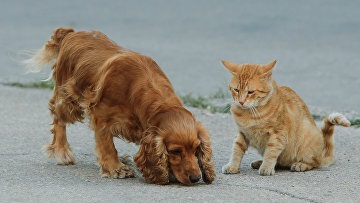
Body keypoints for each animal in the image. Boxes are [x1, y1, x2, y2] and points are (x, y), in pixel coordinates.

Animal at [26, 27, 217, 186]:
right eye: (175, 151)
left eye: (196, 148)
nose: (196, 178)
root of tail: (71, 33)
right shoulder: (100, 115)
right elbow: (107, 145)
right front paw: (116, 168)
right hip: (70, 100)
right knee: (57, 117)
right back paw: (62, 151)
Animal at [221, 59, 350, 175]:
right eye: (236, 90)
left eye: (250, 92)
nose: (241, 102)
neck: (250, 113)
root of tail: (322, 153)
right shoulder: (242, 132)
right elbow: (236, 150)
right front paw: (232, 166)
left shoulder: (278, 134)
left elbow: (271, 152)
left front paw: (266, 167)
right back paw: (259, 162)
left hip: (307, 137)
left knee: (314, 163)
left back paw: (300, 165)